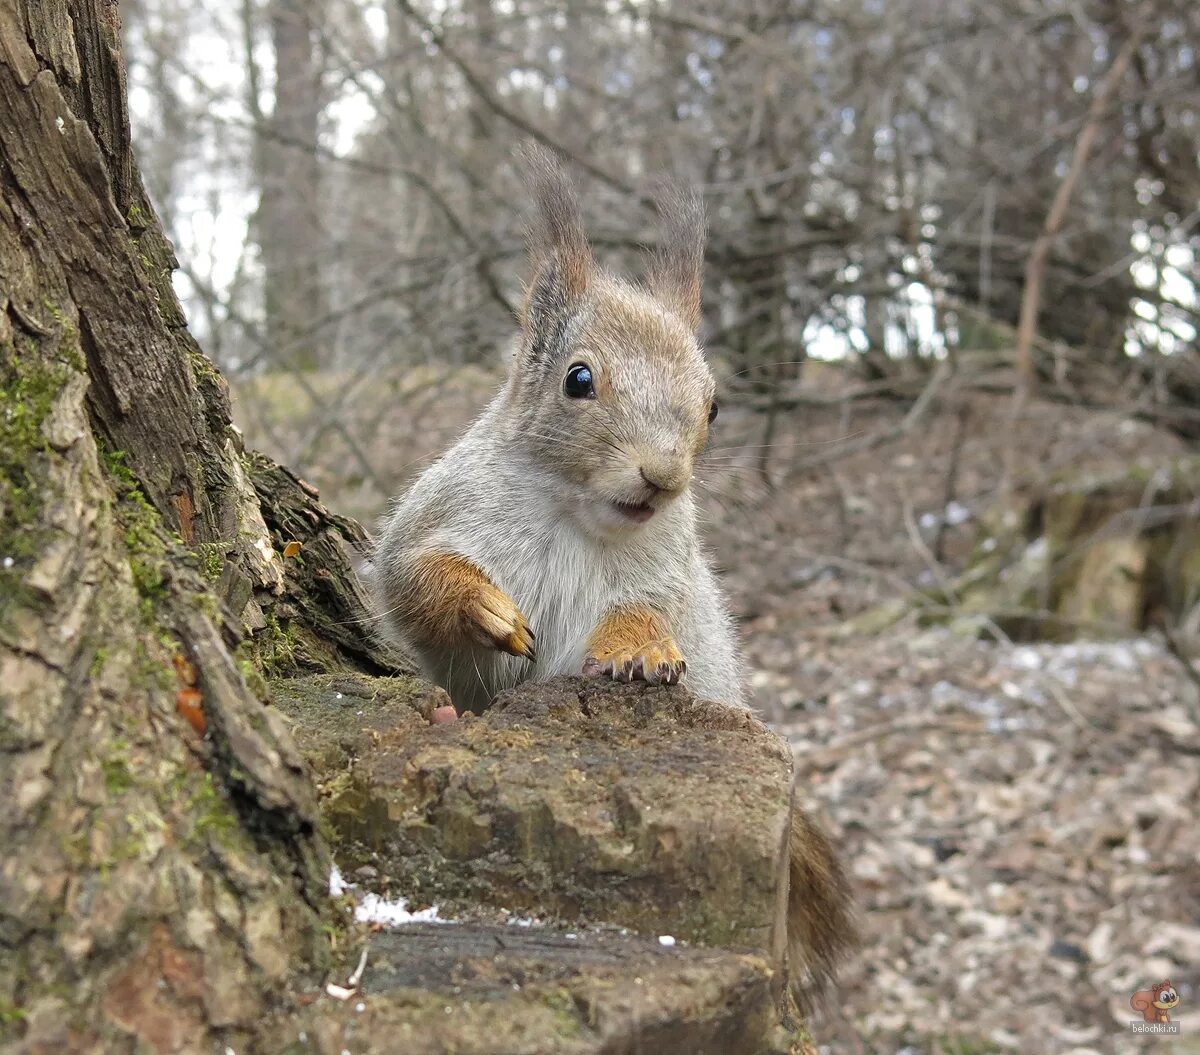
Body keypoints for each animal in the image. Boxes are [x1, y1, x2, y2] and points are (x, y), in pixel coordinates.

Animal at [372, 144, 854, 1003]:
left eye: (714, 405)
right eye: (579, 379)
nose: (663, 476)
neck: (577, 513)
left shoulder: (668, 569)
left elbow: (649, 611)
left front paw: (639, 651)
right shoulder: (435, 512)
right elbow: (411, 578)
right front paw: (486, 610)